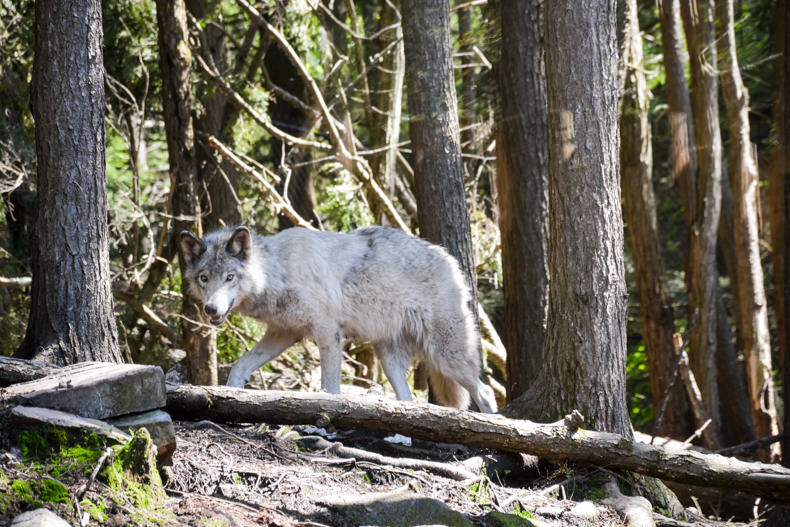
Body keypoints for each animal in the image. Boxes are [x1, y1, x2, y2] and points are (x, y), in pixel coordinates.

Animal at [183, 225, 498, 414]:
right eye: (204, 278)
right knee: (407, 400)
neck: (277, 272)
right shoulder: (283, 334)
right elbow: (239, 367)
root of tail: (450, 260)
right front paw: (231, 397)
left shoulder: (328, 332)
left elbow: (330, 388)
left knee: (485, 392)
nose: (211, 309)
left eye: (230, 277)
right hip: (390, 358)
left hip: (446, 357)